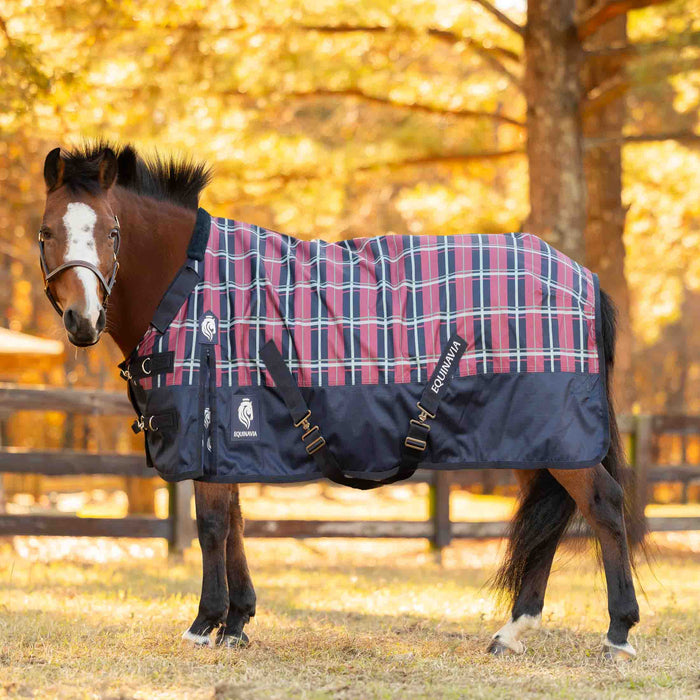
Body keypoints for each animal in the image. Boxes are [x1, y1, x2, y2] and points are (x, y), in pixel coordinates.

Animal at [37, 142, 644, 660]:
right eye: (46, 233)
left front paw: (204, 625)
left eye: (113, 232)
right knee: (551, 522)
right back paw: (513, 632)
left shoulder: (210, 427)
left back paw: (618, 634)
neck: (191, 285)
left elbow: (211, 525)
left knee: (604, 505)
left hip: (562, 437)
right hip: (532, 439)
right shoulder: (230, 436)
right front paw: (237, 623)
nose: (84, 321)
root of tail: (582, 276)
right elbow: (234, 522)